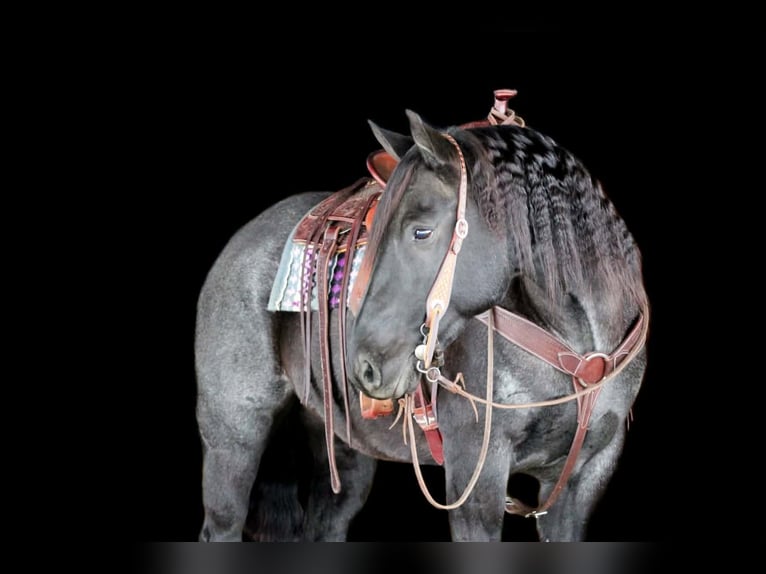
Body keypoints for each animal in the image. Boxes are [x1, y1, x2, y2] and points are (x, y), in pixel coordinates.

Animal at [194, 93, 649, 542]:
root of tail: (245, 239)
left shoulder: (581, 480)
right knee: (223, 522)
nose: (365, 368)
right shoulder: (476, 476)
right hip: (233, 438)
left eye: (421, 232)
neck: (580, 349)